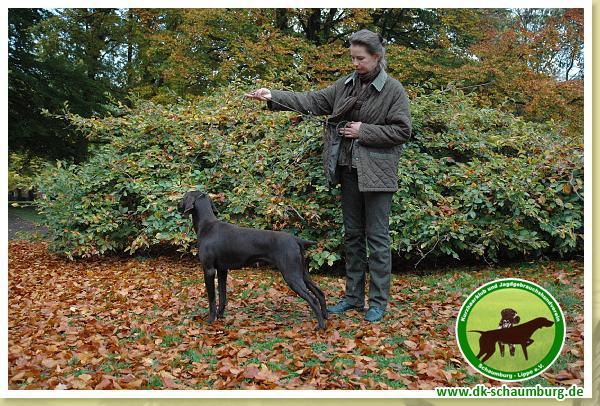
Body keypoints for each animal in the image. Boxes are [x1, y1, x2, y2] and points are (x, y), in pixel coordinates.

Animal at [178, 191, 328, 330]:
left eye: (184, 196)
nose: (177, 205)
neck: (207, 226)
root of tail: (297, 240)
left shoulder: (208, 270)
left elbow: (212, 298)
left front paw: (211, 320)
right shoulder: (222, 270)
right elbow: (222, 296)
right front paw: (220, 316)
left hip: (291, 275)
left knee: (313, 299)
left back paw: (320, 326)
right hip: (302, 273)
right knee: (320, 293)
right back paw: (326, 316)